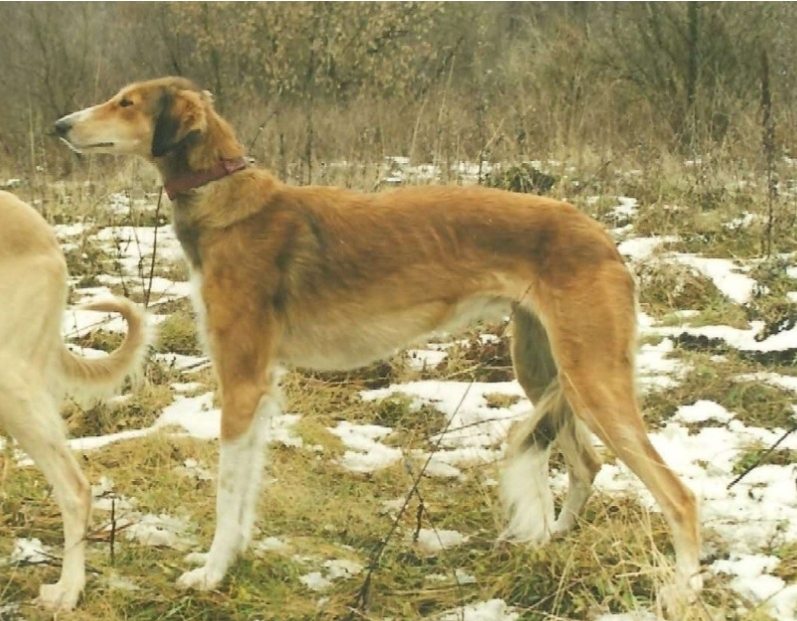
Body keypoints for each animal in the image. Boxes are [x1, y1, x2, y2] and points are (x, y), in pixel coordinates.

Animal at [54, 77, 703, 612]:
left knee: (679, 496)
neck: (228, 203)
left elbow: (226, 488)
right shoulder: (261, 385)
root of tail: (603, 237)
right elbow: (247, 491)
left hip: (591, 377)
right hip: (543, 368)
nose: (61, 126)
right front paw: (231, 560)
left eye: (126, 102)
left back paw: (681, 589)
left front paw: (211, 575)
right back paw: (547, 542)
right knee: (587, 463)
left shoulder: (240, 379)